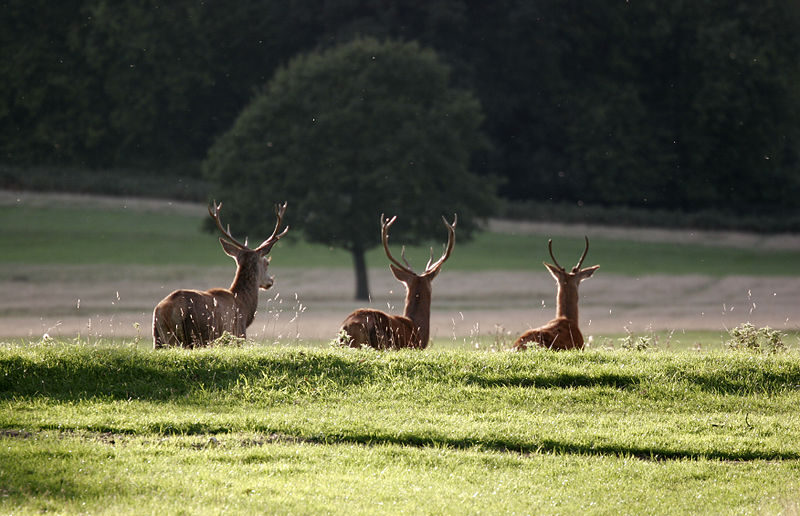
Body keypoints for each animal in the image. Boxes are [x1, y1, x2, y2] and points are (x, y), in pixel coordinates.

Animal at [152, 201, 289, 349]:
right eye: (266, 262)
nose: (270, 281)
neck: (244, 307)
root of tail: (162, 311)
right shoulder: (238, 336)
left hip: (158, 339)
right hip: (189, 338)